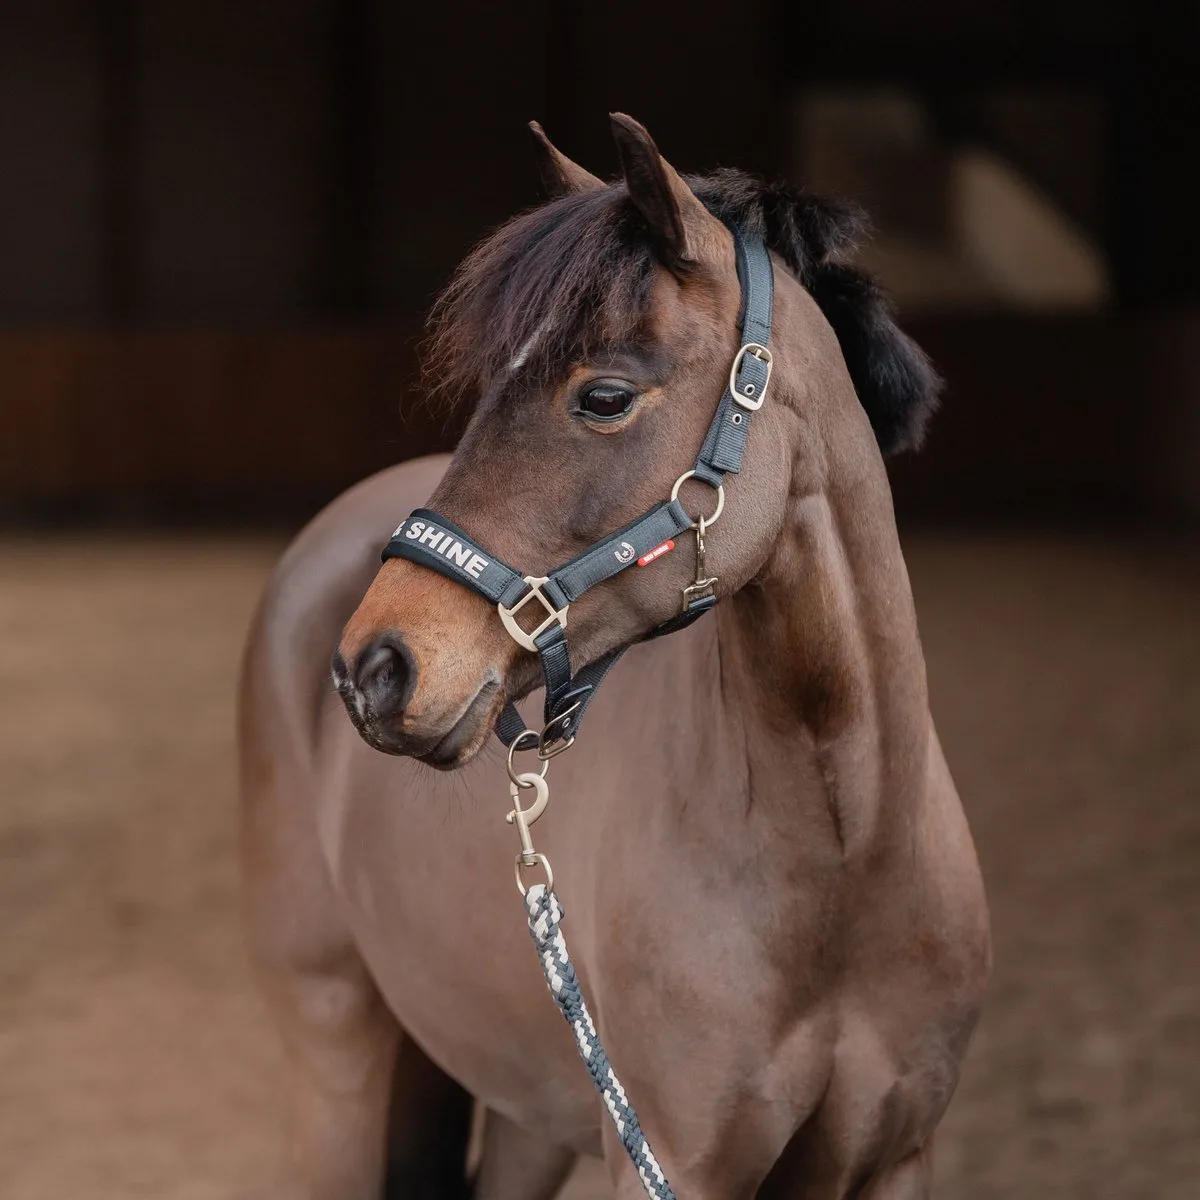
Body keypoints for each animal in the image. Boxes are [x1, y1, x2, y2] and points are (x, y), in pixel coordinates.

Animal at [238, 113, 990, 1199]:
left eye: (602, 396)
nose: (376, 668)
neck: (844, 864)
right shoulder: (669, 1160)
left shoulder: (893, 1158)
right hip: (332, 1047)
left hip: (528, 1105)